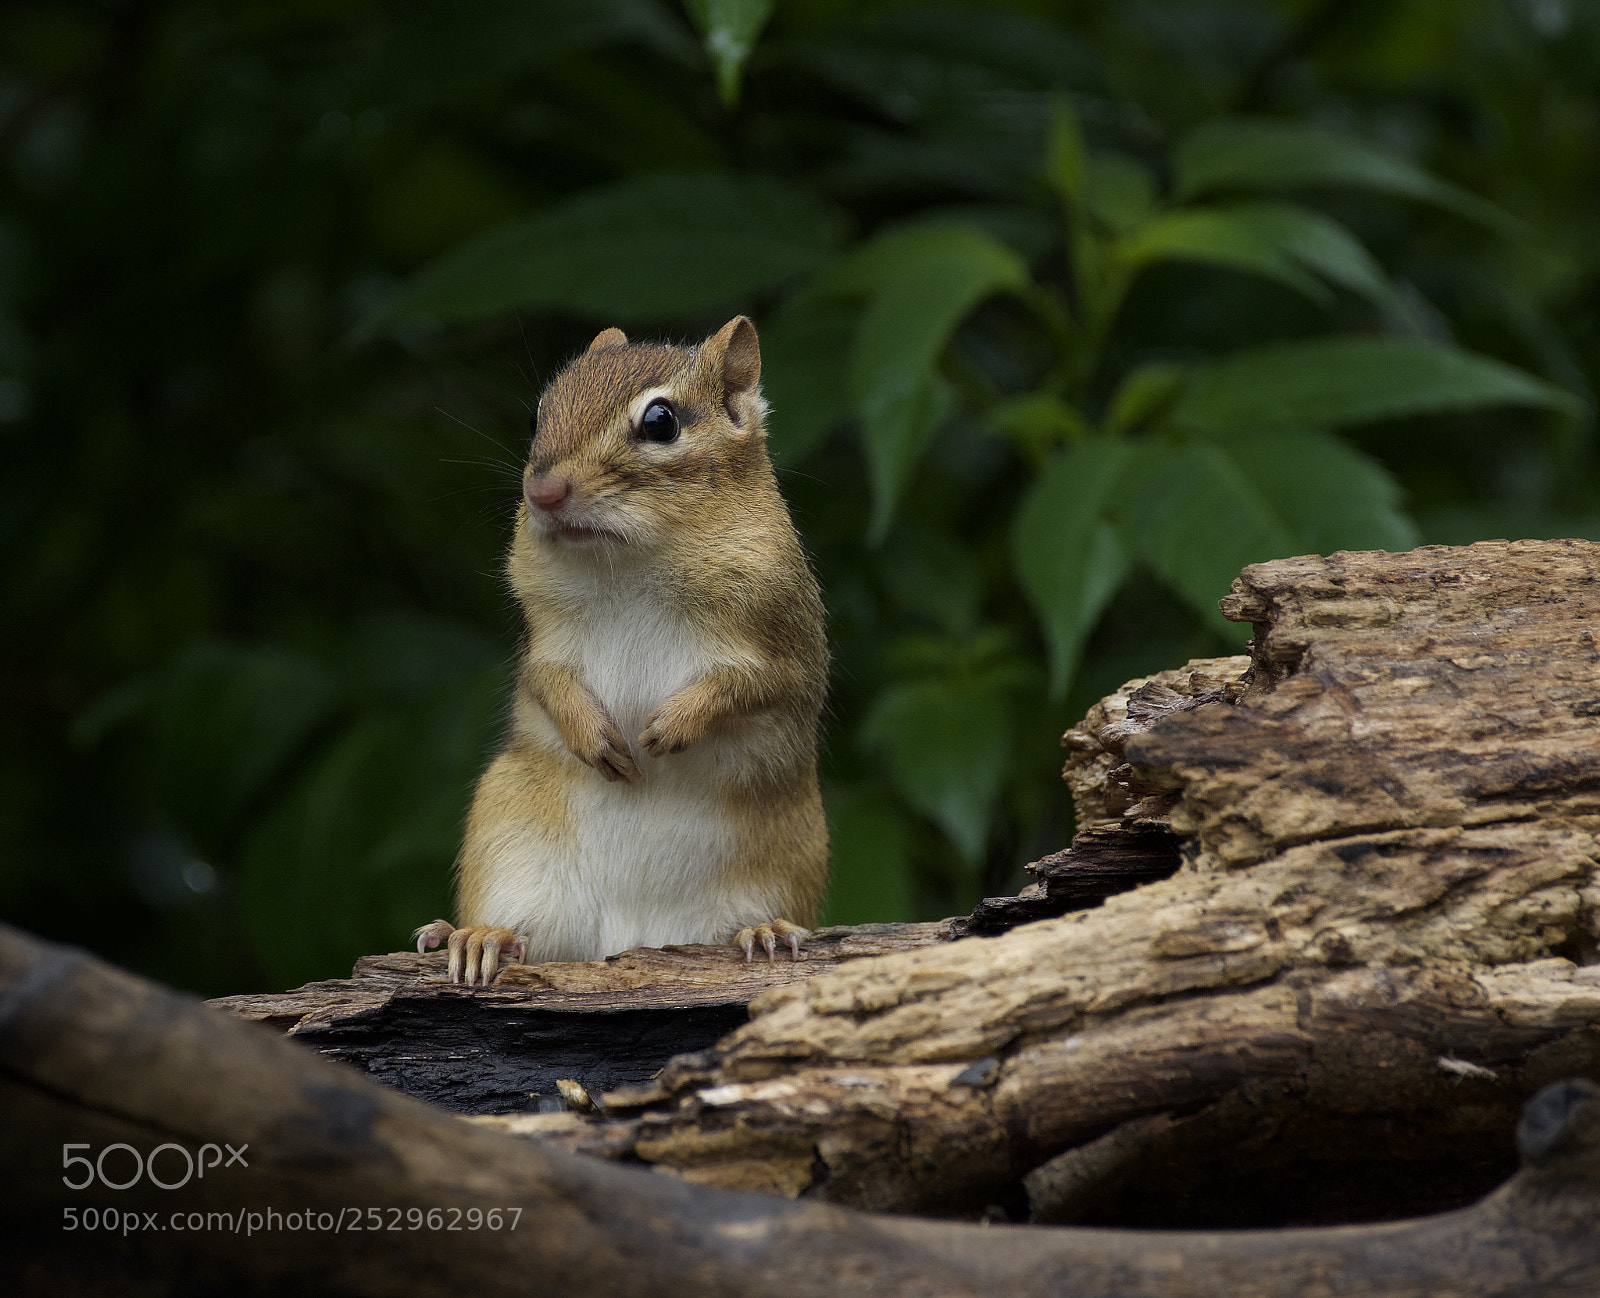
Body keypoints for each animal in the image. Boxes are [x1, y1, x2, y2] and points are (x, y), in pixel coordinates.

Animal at [414, 316, 829, 985]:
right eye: (538, 414)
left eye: (661, 422)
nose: (542, 490)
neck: (631, 563)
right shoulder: (544, 640)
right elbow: (546, 680)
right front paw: (595, 738)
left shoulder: (787, 645)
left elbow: (753, 685)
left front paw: (671, 725)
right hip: (509, 842)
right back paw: (481, 935)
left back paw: (763, 930)